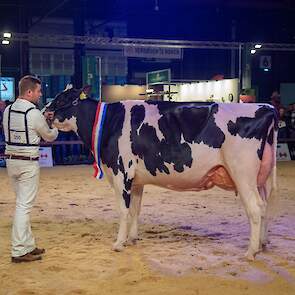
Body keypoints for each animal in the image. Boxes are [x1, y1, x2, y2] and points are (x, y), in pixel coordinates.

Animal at [45, 86, 278, 262]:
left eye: (64, 98)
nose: (45, 111)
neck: (109, 122)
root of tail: (266, 107)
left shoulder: (121, 174)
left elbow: (123, 211)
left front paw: (119, 243)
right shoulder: (136, 180)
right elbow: (135, 210)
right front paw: (132, 239)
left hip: (243, 174)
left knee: (255, 209)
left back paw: (250, 252)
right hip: (260, 179)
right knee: (265, 207)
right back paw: (262, 244)